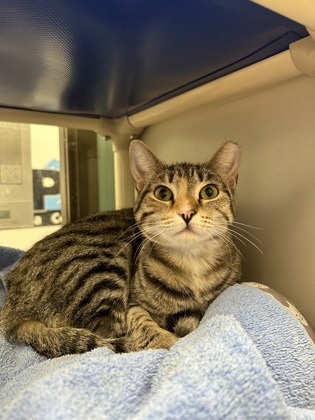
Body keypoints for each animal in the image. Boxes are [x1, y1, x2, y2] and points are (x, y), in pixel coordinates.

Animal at [0, 139, 243, 356]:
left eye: (209, 192)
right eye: (163, 194)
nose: (186, 212)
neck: (192, 265)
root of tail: (12, 310)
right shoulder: (132, 304)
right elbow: (141, 320)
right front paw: (164, 339)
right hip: (102, 266)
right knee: (105, 339)